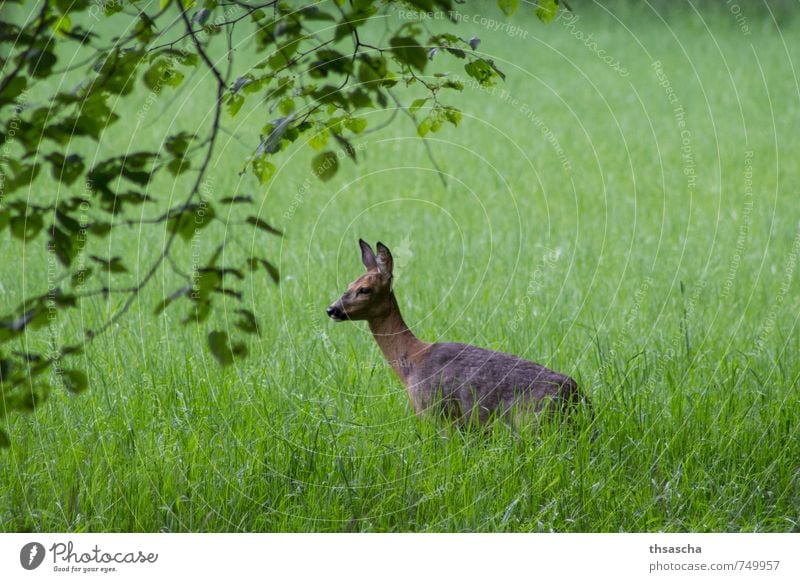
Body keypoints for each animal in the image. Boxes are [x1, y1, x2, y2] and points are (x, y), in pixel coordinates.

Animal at [326, 240, 588, 432]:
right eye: (348, 284)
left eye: (365, 289)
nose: (332, 309)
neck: (411, 362)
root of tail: (577, 396)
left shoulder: (436, 413)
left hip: (533, 422)